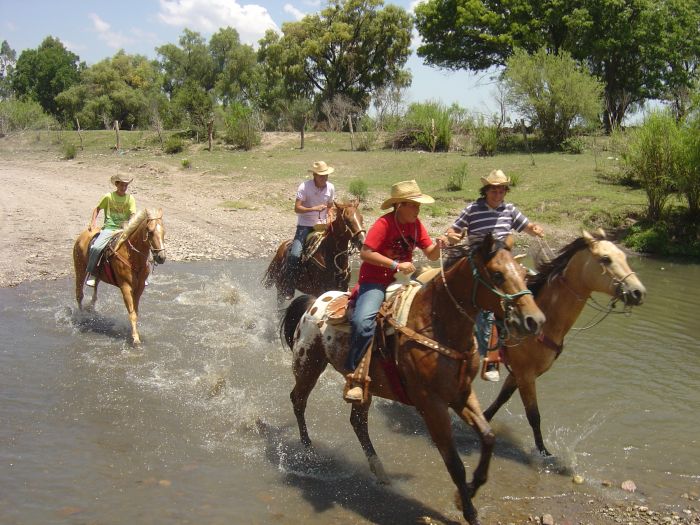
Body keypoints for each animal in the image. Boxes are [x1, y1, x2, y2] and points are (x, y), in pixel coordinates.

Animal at [73, 207, 167, 346]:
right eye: (150, 231)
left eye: (164, 231)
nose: (161, 257)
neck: (133, 257)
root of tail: (83, 235)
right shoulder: (125, 287)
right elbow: (132, 313)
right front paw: (135, 339)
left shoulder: (139, 288)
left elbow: (135, 311)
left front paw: (134, 332)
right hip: (80, 269)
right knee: (79, 294)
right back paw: (82, 316)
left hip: (98, 274)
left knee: (95, 291)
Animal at [278, 235, 548, 520]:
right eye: (497, 274)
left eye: (523, 274)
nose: (535, 319)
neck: (436, 325)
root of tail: (314, 302)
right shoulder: (432, 405)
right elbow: (454, 463)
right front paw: (468, 510)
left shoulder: (461, 394)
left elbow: (488, 437)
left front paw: (472, 489)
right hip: (308, 365)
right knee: (298, 400)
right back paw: (308, 450)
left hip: (363, 385)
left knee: (358, 422)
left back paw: (379, 471)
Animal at [484, 229, 648, 454]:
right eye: (606, 259)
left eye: (624, 256)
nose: (638, 292)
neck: (545, 320)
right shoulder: (526, 375)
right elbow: (534, 415)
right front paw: (544, 454)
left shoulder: (519, 373)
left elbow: (500, 400)